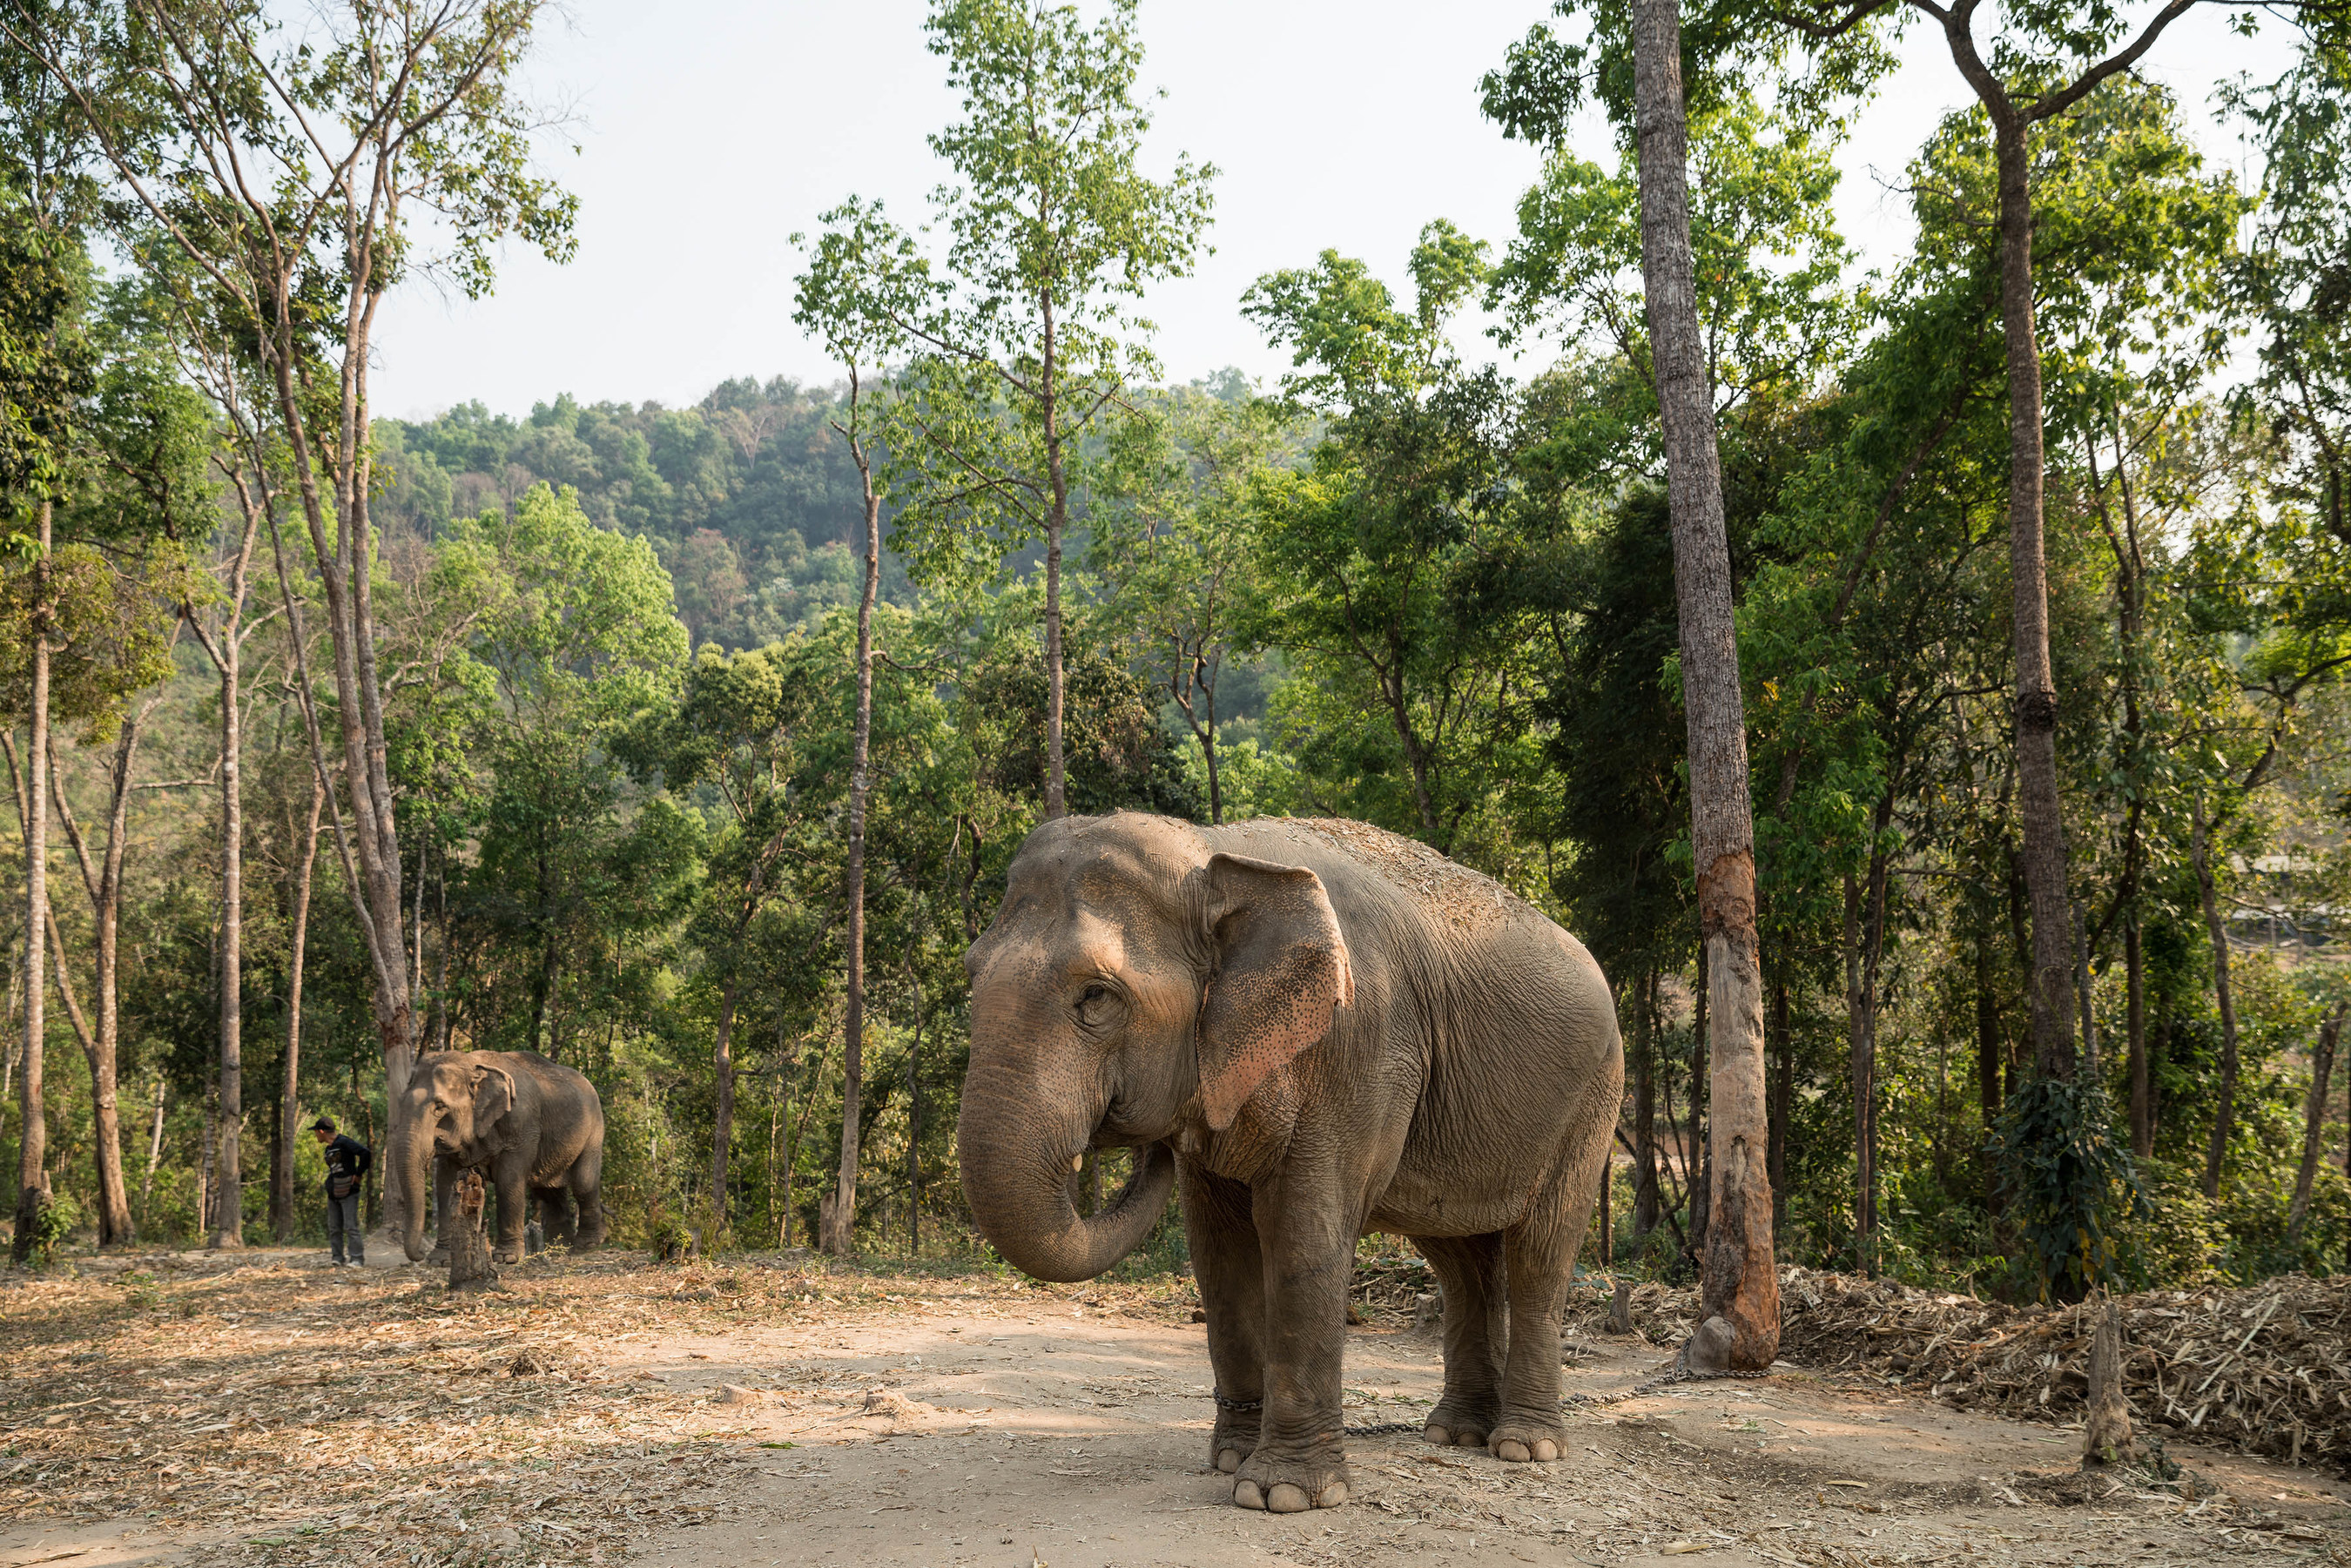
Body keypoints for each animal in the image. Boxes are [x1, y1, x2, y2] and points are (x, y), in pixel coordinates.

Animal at [390, 1048, 606, 1269]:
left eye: (440, 1107)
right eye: (400, 1102)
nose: (420, 1255)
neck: (474, 1064)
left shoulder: (521, 1126)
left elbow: (508, 1180)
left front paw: (506, 1258)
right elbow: (445, 1183)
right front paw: (439, 1260)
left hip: (594, 1130)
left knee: (583, 1182)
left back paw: (585, 1246)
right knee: (549, 1190)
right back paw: (559, 1247)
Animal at [949, 818, 1617, 1513]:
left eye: (1097, 996)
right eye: (972, 973)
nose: (1142, 1141)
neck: (1214, 854)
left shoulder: (1361, 1050)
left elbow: (1303, 1230)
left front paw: (1283, 1495)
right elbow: (1219, 1249)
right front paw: (1230, 1461)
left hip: (1592, 1097)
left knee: (1539, 1251)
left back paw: (1524, 1447)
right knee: (1459, 1258)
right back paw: (1456, 1433)